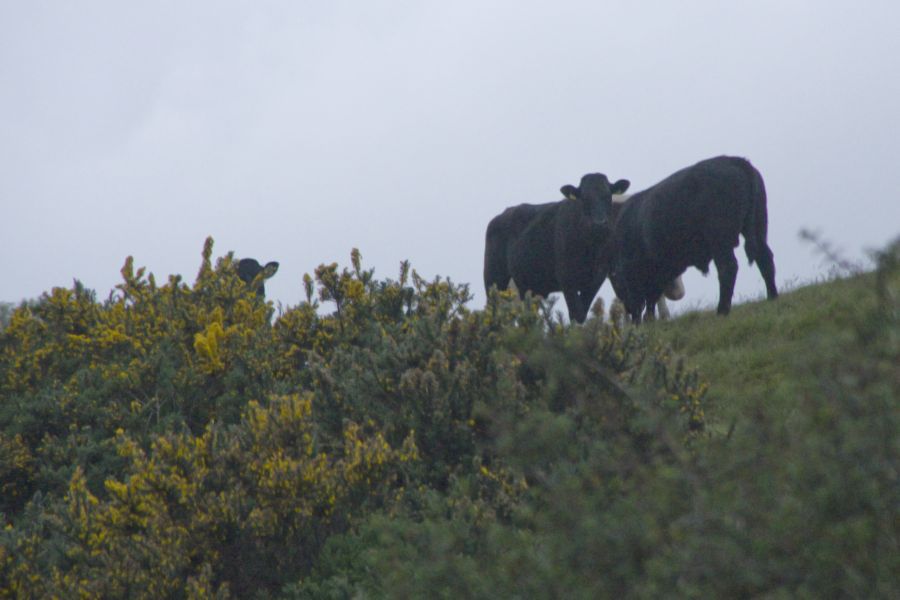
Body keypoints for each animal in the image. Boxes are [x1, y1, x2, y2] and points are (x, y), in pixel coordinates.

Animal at [488, 173, 628, 324]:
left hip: (531, 286)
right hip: (494, 279)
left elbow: (581, 314)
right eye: (584, 198)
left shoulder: (596, 279)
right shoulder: (566, 279)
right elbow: (575, 314)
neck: (590, 250)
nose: (599, 224)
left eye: (608, 196)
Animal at [608, 156, 776, 324]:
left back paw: (722, 310)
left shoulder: (632, 270)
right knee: (765, 257)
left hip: (720, 240)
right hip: (758, 228)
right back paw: (772, 297)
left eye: (616, 279)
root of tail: (734, 160)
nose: (627, 309)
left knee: (728, 267)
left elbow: (642, 298)